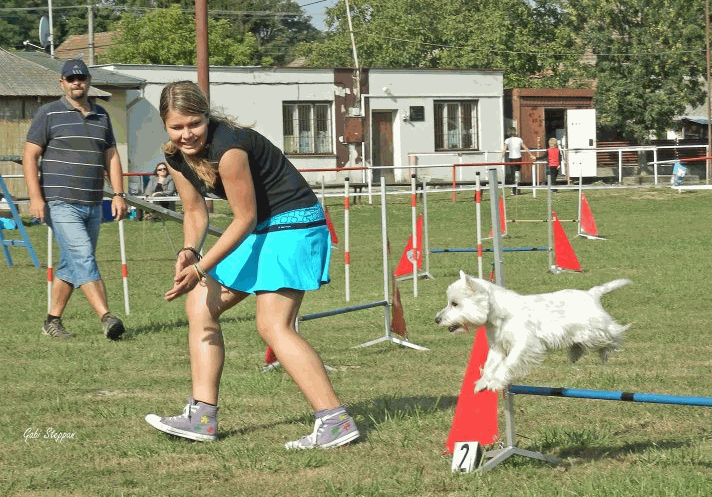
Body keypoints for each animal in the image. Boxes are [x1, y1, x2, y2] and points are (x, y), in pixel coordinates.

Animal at [434, 272, 628, 392]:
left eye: (455, 303)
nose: (437, 319)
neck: (500, 315)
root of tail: (592, 293)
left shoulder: (524, 343)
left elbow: (507, 364)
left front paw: (496, 382)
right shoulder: (498, 346)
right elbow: (490, 364)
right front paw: (483, 382)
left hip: (593, 330)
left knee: (613, 334)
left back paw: (606, 351)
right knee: (580, 343)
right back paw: (574, 354)